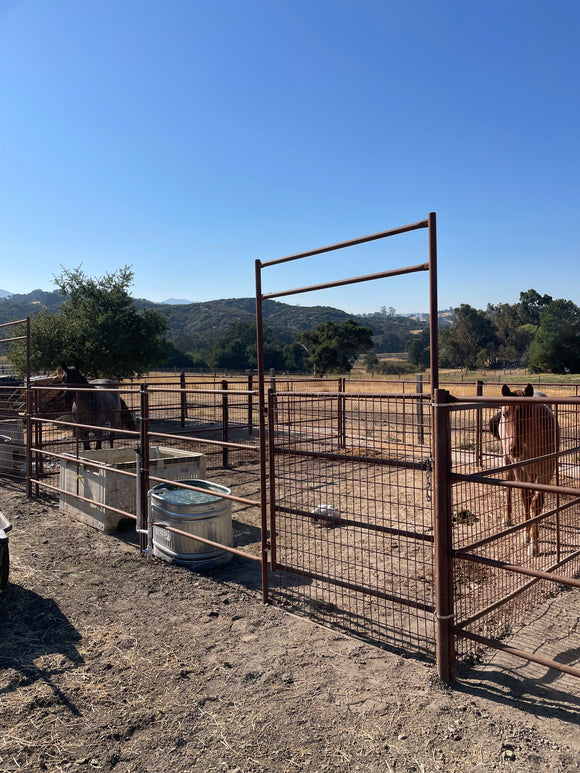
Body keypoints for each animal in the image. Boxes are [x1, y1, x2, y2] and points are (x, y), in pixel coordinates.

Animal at [496, 382, 560, 552]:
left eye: (527, 413)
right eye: (505, 414)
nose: (515, 449)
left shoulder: (547, 471)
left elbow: (536, 502)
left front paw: (534, 543)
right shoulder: (520, 470)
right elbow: (525, 498)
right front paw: (527, 534)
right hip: (507, 460)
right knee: (509, 485)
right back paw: (507, 517)